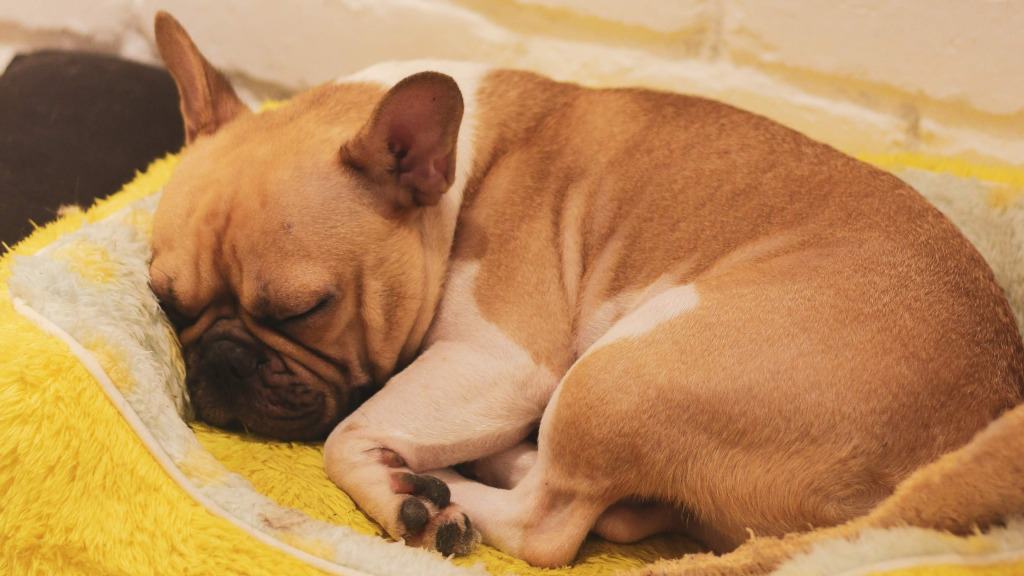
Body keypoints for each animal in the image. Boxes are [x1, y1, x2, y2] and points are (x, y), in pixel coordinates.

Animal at [146, 12, 1024, 565]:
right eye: (167, 302)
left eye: (307, 310)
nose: (221, 364)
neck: (455, 183)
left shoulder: (498, 361)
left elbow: (346, 435)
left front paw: (399, 488)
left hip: (618, 373)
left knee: (550, 521)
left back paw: (442, 491)